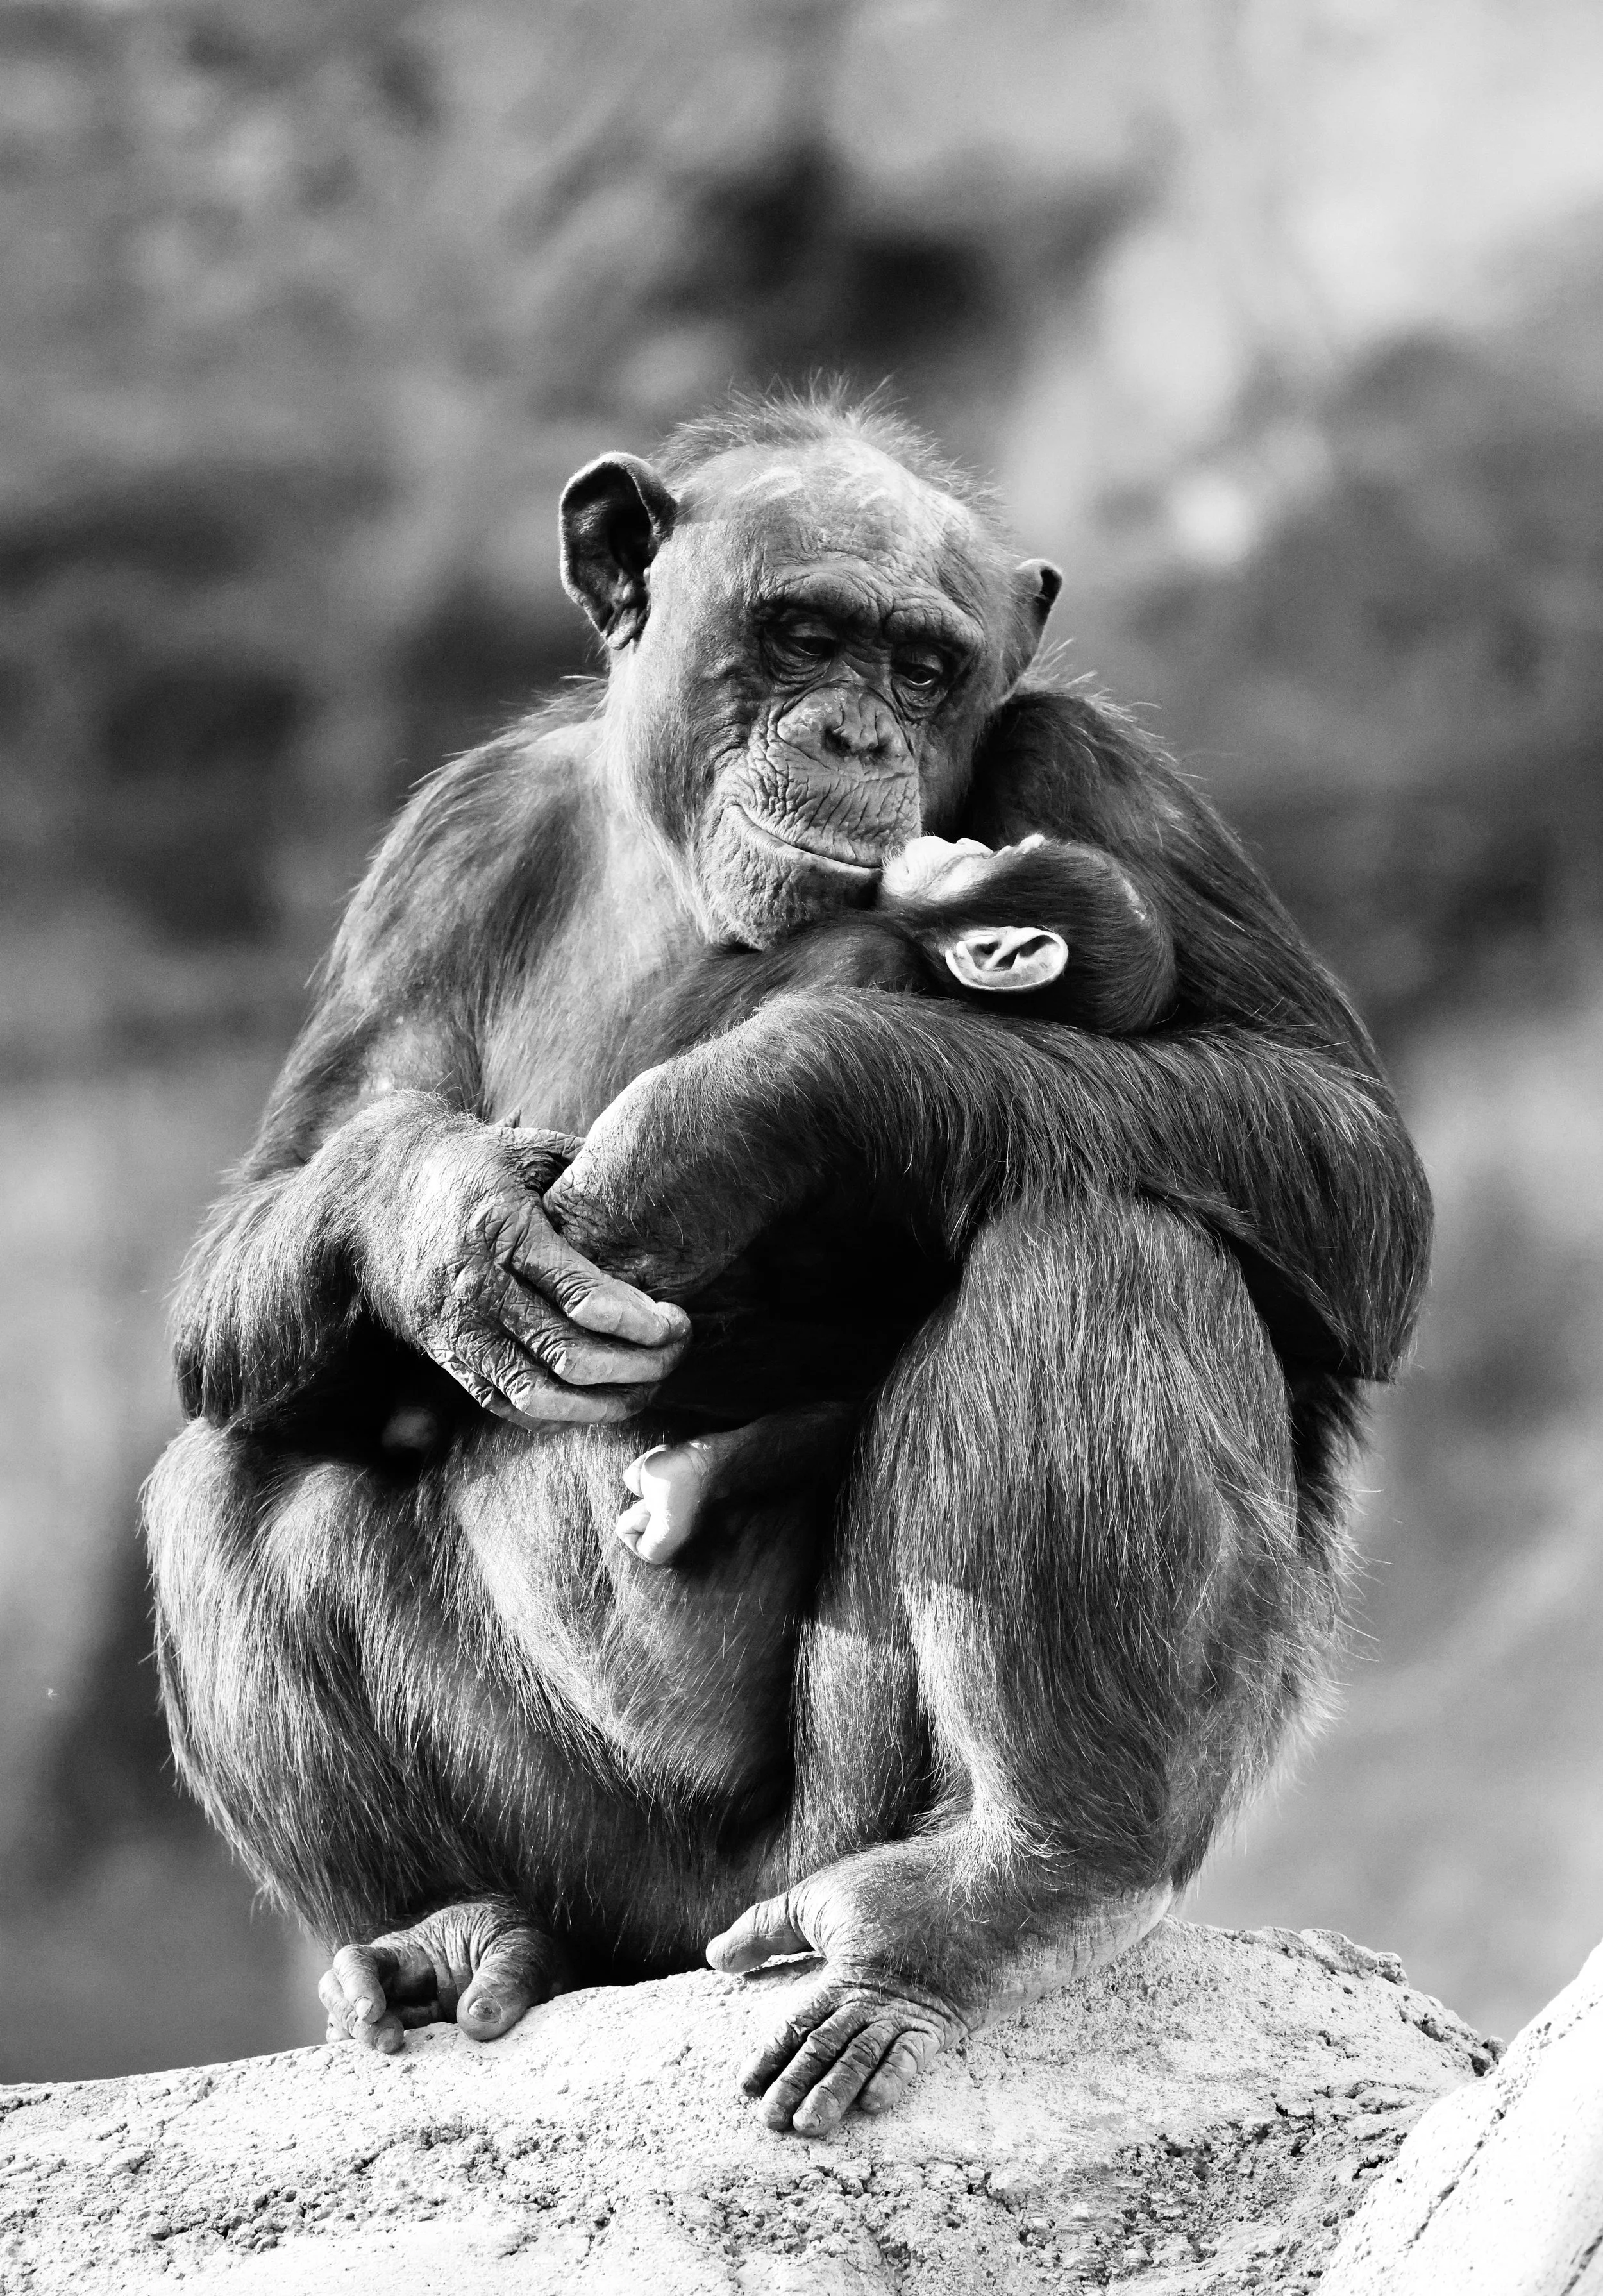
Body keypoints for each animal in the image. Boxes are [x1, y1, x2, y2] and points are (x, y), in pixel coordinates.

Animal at [144, 386, 1430, 2142]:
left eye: (925, 668)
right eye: (805, 633)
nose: (857, 738)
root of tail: (683, 1942)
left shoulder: (1099, 771)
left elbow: (1346, 1161)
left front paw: (754, 1109)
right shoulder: (443, 846)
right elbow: (271, 1207)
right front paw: (441, 1224)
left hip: (833, 1821)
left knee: (1109, 1235)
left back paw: (1015, 1880)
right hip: (609, 1872)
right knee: (239, 1451)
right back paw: (447, 1929)